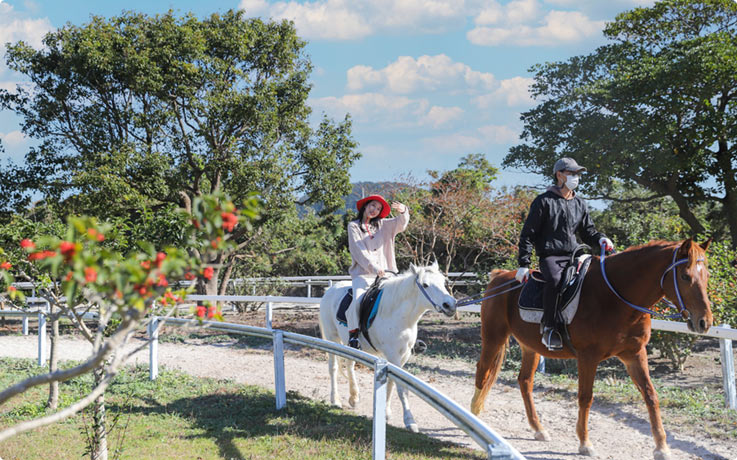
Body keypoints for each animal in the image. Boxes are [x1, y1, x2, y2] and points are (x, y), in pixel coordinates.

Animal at [320, 262, 458, 432]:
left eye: (444, 282)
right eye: (425, 285)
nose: (450, 305)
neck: (399, 315)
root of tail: (330, 290)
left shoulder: (403, 356)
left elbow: (392, 382)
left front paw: (385, 413)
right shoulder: (393, 355)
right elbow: (401, 388)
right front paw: (409, 420)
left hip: (349, 344)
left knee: (349, 364)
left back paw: (354, 397)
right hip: (332, 338)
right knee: (333, 368)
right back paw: (336, 400)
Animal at [472, 239, 712, 458]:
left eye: (707, 276)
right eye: (685, 276)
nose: (704, 322)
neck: (616, 297)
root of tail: (501, 276)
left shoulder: (635, 354)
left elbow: (650, 395)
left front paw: (661, 447)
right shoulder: (588, 357)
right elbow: (585, 397)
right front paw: (585, 443)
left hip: (530, 348)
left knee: (524, 381)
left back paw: (538, 429)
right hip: (493, 338)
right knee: (482, 373)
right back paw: (474, 416)